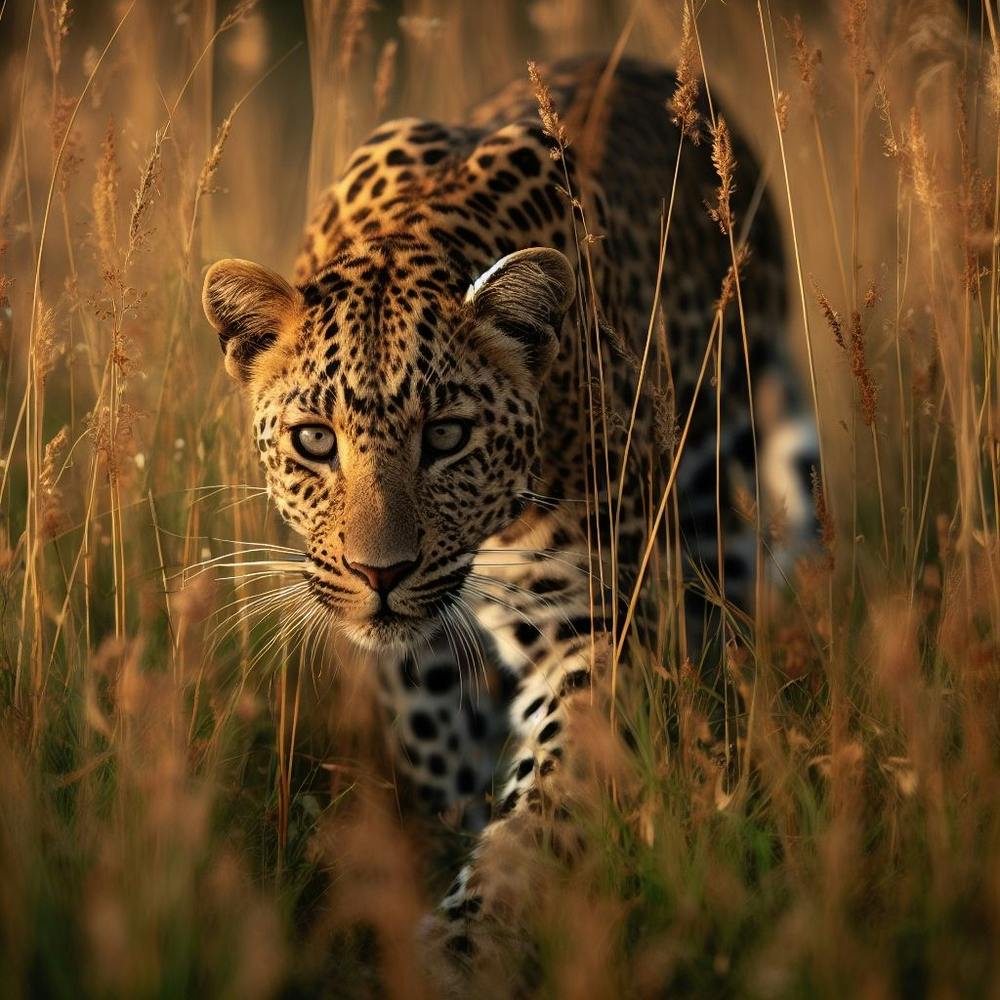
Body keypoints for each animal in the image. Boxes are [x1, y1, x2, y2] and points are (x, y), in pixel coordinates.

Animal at [202, 55, 818, 986]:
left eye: (447, 436)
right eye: (314, 440)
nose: (380, 574)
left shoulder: (597, 619)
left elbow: (550, 795)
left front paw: (474, 940)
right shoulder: (412, 659)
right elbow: (435, 750)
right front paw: (443, 846)